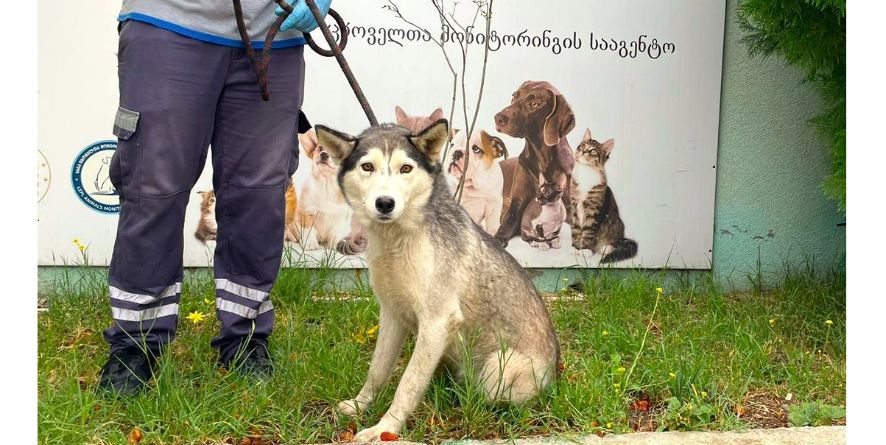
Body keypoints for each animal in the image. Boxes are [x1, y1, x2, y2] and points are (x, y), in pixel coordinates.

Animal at [316, 119, 560, 440]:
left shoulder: (437, 322)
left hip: (496, 372)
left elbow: (408, 383)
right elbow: (377, 370)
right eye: (367, 167)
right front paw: (360, 405)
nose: (385, 203)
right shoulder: (392, 315)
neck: (397, 240)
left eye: (406, 168)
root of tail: (556, 372)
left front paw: (385, 429)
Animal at [492, 80, 576, 246]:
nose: (498, 118)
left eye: (534, 104)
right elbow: (505, 228)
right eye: (514, 96)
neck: (542, 158)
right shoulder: (516, 205)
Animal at [568, 128, 640, 262]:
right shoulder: (574, 207)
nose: (583, 151)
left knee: (615, 242)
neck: (586, 173)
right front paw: (575, 247)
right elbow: (575, 230)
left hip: (616, 223)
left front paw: (585, 250)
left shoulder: (593, 209)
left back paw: (606, 247)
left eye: (593, 151)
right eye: (582, 146)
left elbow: (588, 231)